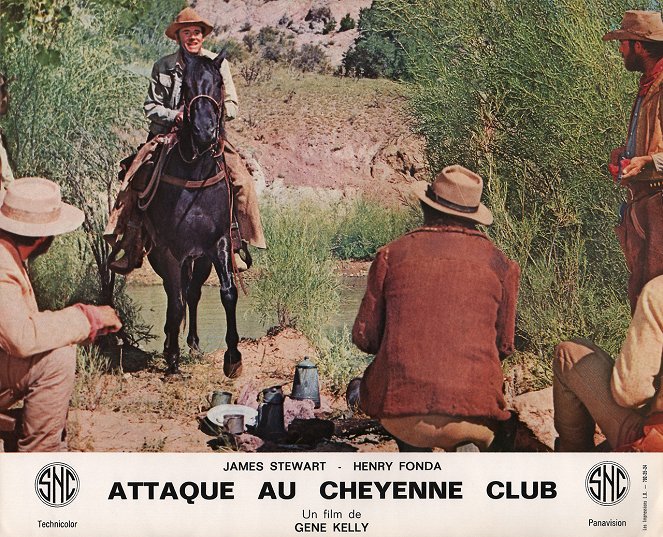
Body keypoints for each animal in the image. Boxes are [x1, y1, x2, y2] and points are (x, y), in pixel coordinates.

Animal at [144, 51, 243, 376]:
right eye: (185, 86)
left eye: (219, 82)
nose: (204, 132)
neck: (196, 172)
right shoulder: (168, 249)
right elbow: (175, 302)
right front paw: (172, 356)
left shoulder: (219, 242)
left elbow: (227, 292)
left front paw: (233, 358)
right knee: (174, 293)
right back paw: (169, 343)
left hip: (199, 260)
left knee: (193, 292)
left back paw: (194, 343)